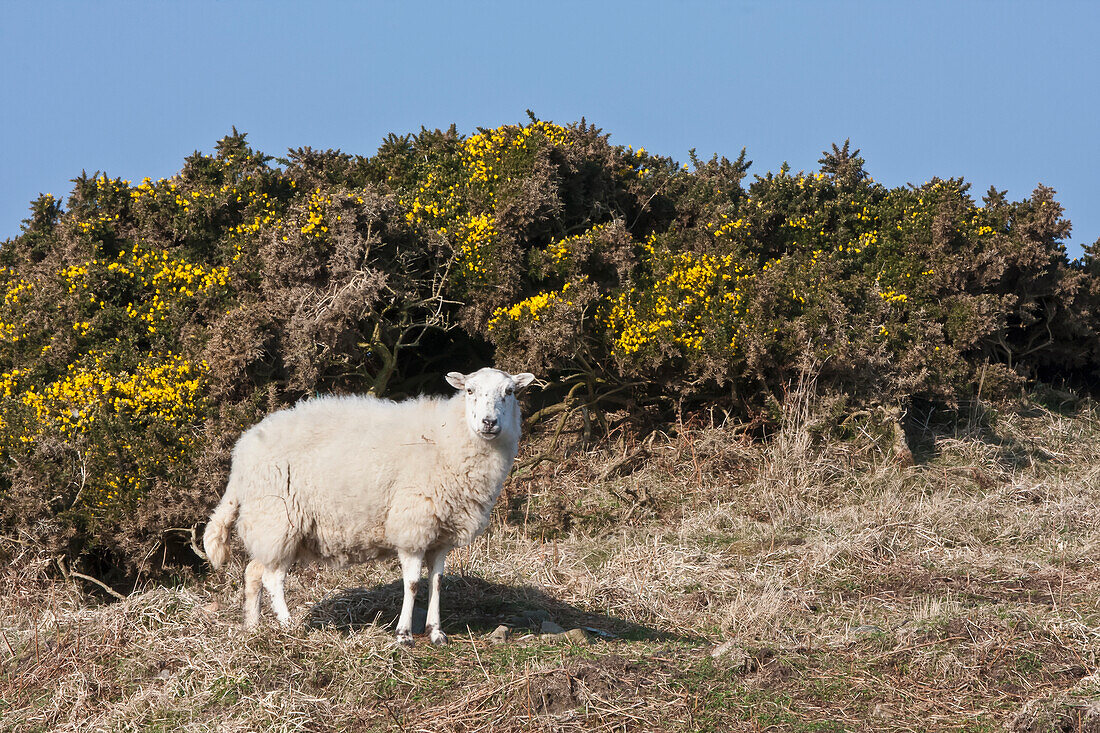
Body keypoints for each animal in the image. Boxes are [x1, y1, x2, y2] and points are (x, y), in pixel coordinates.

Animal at [205, 367, 536, 642]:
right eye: (469, 390)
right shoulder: (412, 525)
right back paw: (289, 625)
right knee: (273, 578)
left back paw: (252, 627)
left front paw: (435, 632)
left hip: (271, 524)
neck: (448, 438)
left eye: (510, 392)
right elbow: (412, 583)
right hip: (278, 519)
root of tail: (242, 452)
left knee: (254, 572)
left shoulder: (442, 533)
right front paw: (404, 634)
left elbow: (438, 583)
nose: (489, 423)